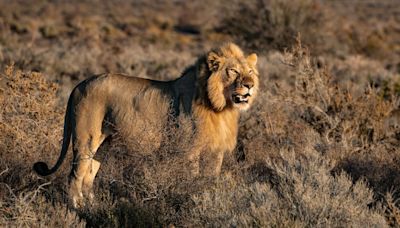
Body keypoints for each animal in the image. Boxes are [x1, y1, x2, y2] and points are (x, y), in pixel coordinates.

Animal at [33, 42, 260, 207]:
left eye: (250, 71)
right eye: (233, 71)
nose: (250, 85)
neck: (221, 108)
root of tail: (78, 85)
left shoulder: (216, 151)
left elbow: (211, 178)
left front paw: (210, 198)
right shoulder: (190, 150)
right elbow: (193, 179)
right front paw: (193, 199)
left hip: (104, 143)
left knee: (90, 174)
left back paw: (93, 207)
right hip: (85, 139)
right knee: (75, 175)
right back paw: (76, 208)